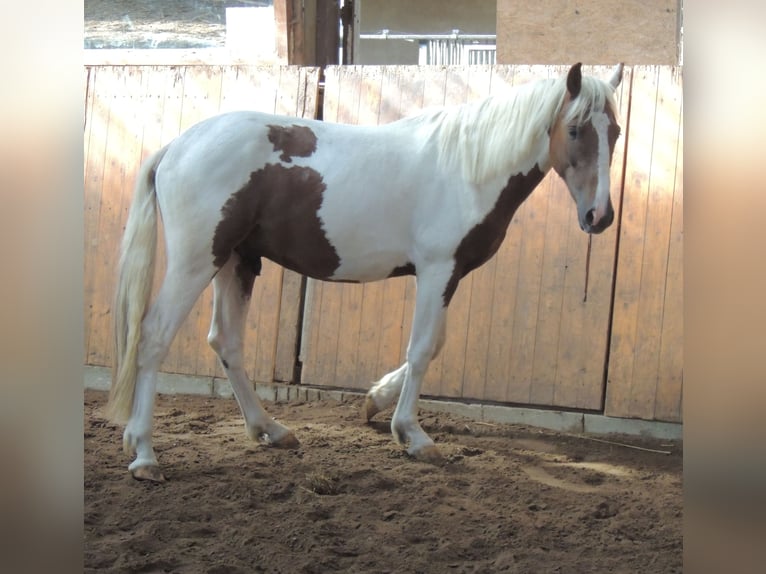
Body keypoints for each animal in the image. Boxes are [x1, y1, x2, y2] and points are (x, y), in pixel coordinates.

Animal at [108, 63, 624, 484]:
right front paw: (412, 434)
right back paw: (145, 454)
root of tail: (177, 145)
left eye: (615, 131)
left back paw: (269, 429)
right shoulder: (437, 270)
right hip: (198, 260)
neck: (466, 167)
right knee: (153, 336)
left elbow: (433, 345)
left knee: (226, 342)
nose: (599, 216)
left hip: (236, 262)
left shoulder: (447, 275)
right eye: (575, 129)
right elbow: (423, 349)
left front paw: (376, 400)